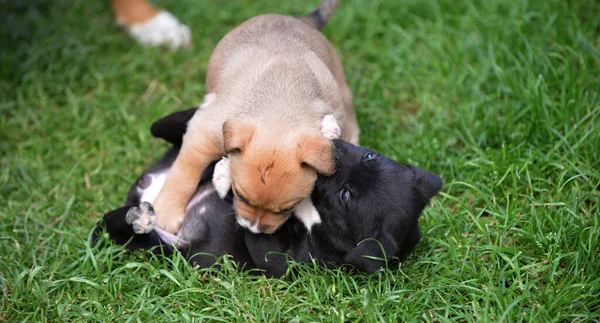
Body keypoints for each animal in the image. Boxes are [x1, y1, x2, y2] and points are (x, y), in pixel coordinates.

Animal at [94, 109, 440, 278]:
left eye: (346, 196)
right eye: (371, 155)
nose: (334, 151)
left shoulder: (278, 258)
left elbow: (260, 231)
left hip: (167, 249)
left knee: (117, 224)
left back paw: (138, 218)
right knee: (174, 125)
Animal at [155, 0, 358, 234]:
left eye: (286, 209)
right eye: (240, 195)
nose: (254, 230)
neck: (281, 106)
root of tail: (297, 20)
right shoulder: (202, 135)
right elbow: (184, 173)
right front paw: (166, 212)